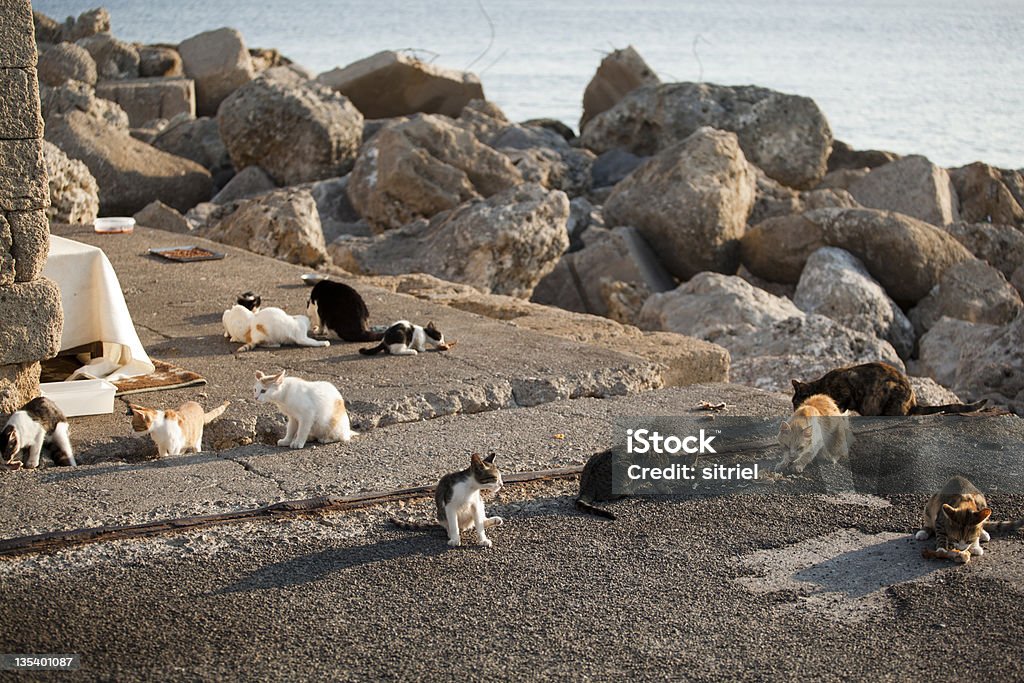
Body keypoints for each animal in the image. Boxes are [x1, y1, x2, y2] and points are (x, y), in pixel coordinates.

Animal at [786, 362, 987, 417]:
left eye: (795, 401)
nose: (794, 409)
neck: (822, 386)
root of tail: (914, 403)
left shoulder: (846, 388)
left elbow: (841, 404)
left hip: (886, 390)